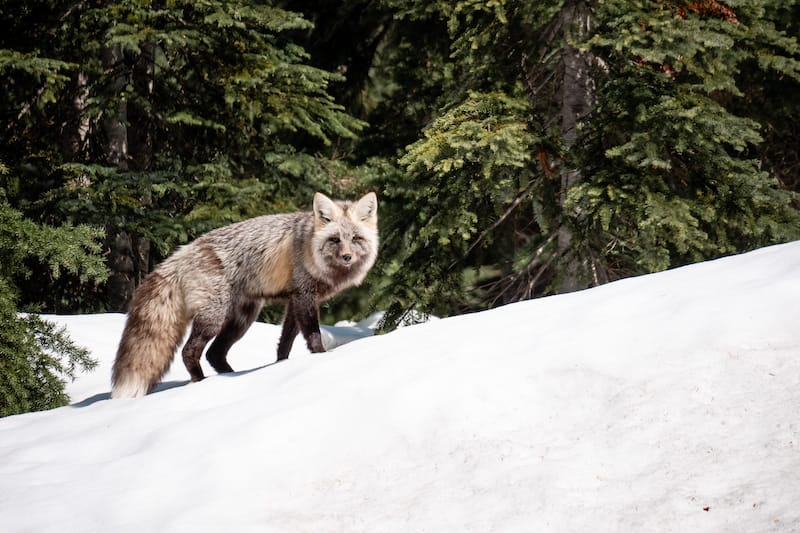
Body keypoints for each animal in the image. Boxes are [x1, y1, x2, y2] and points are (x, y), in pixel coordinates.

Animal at [110, 190, 382, 394]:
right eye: (335, 240)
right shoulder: (304, 296)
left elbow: (284, 344)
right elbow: (313, 335)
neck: (309, 248)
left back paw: (233, 377)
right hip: (214, 318)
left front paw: (281, 366)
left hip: (242, 319)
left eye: (356, 239)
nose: (347, 257)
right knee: (190, 352)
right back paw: (201, 382)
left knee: (214, 354)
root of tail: (181, 253)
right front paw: (321, 357)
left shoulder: (294, 300)